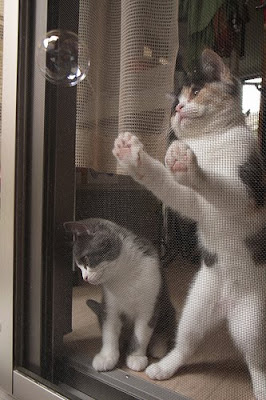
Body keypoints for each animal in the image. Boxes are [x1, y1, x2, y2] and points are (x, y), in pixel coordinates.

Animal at [63, 219, 177, 372]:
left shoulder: (149, 304)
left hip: (167, 309)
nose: (85, 278)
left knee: (164, 329)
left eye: (86, 259)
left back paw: (158, 346)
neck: (123, 277)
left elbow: (141, 333)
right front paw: (107, 357)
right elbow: (109, 332)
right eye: (79, 267)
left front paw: (136, 356)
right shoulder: (109, 306)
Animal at [112, 50, 266, 400]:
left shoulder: (251, 192)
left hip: (253, 320)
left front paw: (190, 165)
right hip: (196, 304)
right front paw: (133, 156)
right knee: (187, 340)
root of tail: (226, 308)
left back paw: (263, 386)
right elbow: (176, 192)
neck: (211, 142)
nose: (180, 109)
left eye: (195, 92)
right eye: (175, 103)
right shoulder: (197, 207)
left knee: (255, 358)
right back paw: (165, 366)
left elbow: (225, 189)